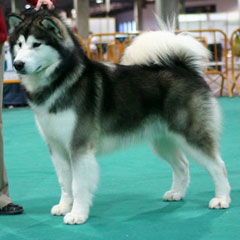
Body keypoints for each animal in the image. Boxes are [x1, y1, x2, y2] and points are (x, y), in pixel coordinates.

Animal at [8, 7, 231, 225]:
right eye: (19, 44)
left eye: (36, 44)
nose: (17, 64)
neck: (61, 81)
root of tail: (184, 68)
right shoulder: (56, 147)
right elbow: (65, 181)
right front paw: (64, 206)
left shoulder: (79, 146)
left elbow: (78, 184)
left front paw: (77, 214)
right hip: (163, 141)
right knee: (183, 165)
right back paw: (176, 193)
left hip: (191, 134)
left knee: (218, 165)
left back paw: (221, 199)